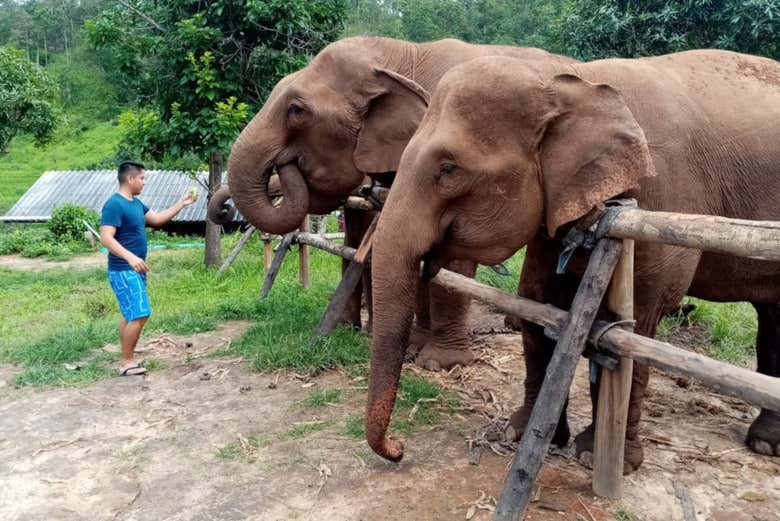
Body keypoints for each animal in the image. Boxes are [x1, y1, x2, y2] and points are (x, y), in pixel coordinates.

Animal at [208, 36, 575, 369]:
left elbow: (452, 254)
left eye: (296, 110)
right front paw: (402, 344)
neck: (398, 53)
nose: (285, 162)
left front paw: (437, 363)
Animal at [365, 50, 780, 471]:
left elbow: (635, 327)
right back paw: (766, 443)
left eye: (448, 169)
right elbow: (537, 303)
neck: (572, 80)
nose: (399, 448)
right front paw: (521, 434)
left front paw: (597, 459)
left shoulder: (660, 202)